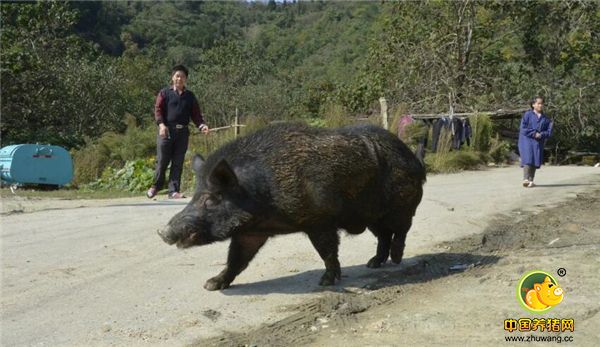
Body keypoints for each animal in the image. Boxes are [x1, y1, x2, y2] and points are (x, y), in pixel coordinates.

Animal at [157, 122, 424, 290]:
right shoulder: (250, 232)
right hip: (372, 217)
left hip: (401, 205)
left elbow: (327, 251)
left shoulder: (320, 220)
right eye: (194, 196)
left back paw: (396, 259)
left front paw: (325, 282)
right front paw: (211, 285)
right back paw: (374, 263)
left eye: (211, 198)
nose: (162, 231)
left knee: (402, 230)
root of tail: (415, 159)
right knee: (384, 236)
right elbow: (236, 259)